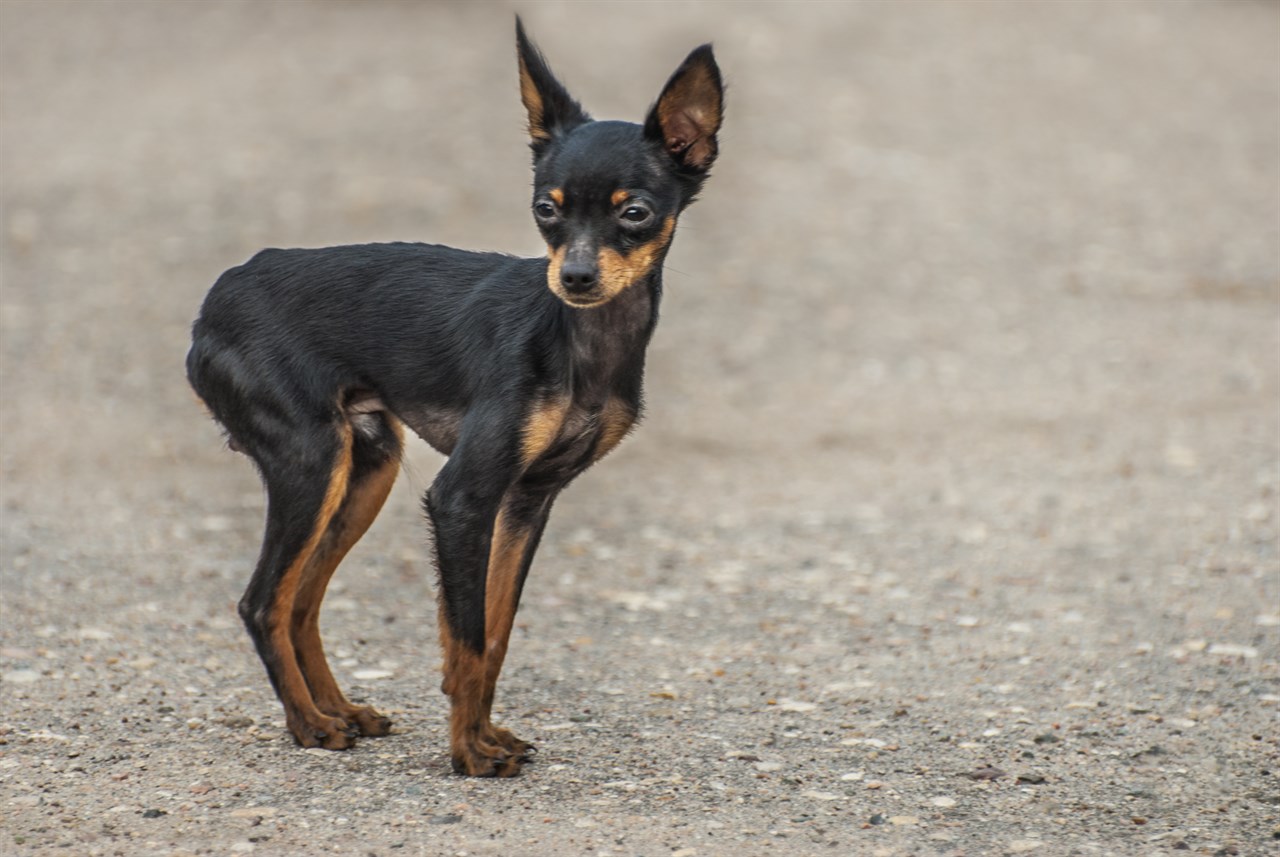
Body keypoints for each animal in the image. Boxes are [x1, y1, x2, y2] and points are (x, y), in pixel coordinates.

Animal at [188, 15, 727, 777]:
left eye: (637, 213)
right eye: (545, 210)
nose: (576, 277)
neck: (581, 339)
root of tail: (216, 300)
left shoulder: (529, 499)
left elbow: (492, 633)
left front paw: (485, 732)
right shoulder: (461, 498)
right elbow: (468, 635)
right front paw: (470, 752)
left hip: (367, 466)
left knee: (301, 602)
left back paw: (341, 710)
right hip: (311, 461)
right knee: (263, 602)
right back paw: (309, 725)